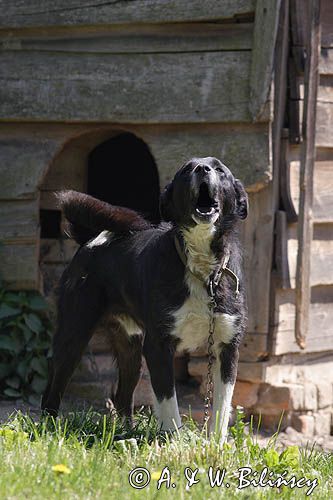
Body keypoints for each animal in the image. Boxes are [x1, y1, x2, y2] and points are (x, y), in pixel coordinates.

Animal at [41, 156, 246, 442]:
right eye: (187, 170)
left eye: (219, 169)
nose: (203, 169)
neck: (201, 268)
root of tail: (92, 240)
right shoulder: (158, 345)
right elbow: (168, 401)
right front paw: (173, 441)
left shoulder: (227, 346)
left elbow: (222, 407)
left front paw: (216, 444)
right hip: (74, 334)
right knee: (53, 387)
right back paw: (48, 428)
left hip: (131, 349)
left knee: (121, 397)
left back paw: (126, 433)